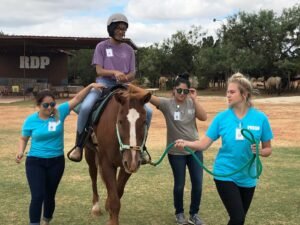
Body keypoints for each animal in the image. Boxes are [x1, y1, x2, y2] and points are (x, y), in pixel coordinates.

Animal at [84, 84, 150, 225]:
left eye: (144, 122)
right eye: (120, 121)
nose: (132, 161)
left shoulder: (127, 165)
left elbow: (117, 192)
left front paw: (108, 207)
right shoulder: (108, 164)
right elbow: (115, 200)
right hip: (90, 153)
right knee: (93, 175)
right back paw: (96, 207)